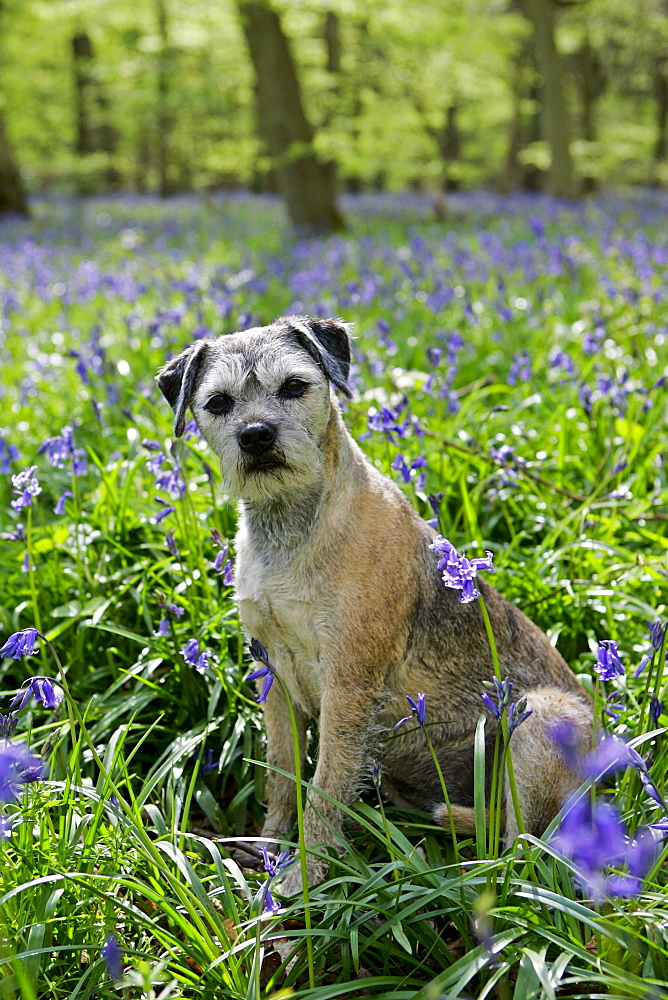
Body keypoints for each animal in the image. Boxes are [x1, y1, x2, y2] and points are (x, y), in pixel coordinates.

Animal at [159, 312, 592, 892]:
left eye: (294, 386)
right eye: (219, 402)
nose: (256, 435)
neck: (292, 530)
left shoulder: (349, 684)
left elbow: (326, 785)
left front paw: (300, 880)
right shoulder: (273, 676)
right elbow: (283, 775)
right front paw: (271, 846)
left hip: (538, 719)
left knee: (521, 840)